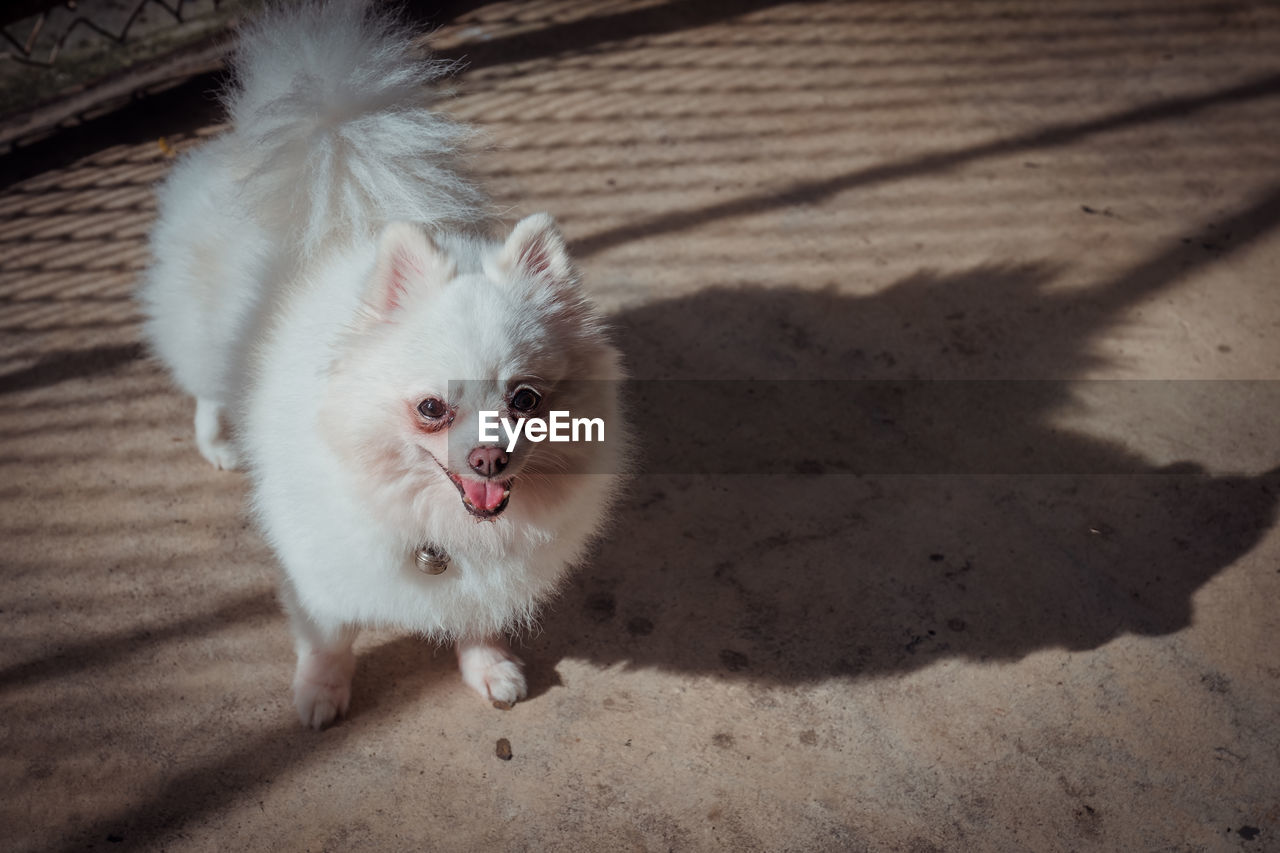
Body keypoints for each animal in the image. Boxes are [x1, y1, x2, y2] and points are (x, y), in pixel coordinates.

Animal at [137, 4, 627, 722]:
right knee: (206, 388)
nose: (489, 458)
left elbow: (476, 617)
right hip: (204, 335)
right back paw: (219, 444)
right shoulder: (316, 565)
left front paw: (488, 667)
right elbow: (329, 635)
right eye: (430, 408)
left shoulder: (477, 578)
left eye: (526, 400)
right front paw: (321, 692)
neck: (439, 525)